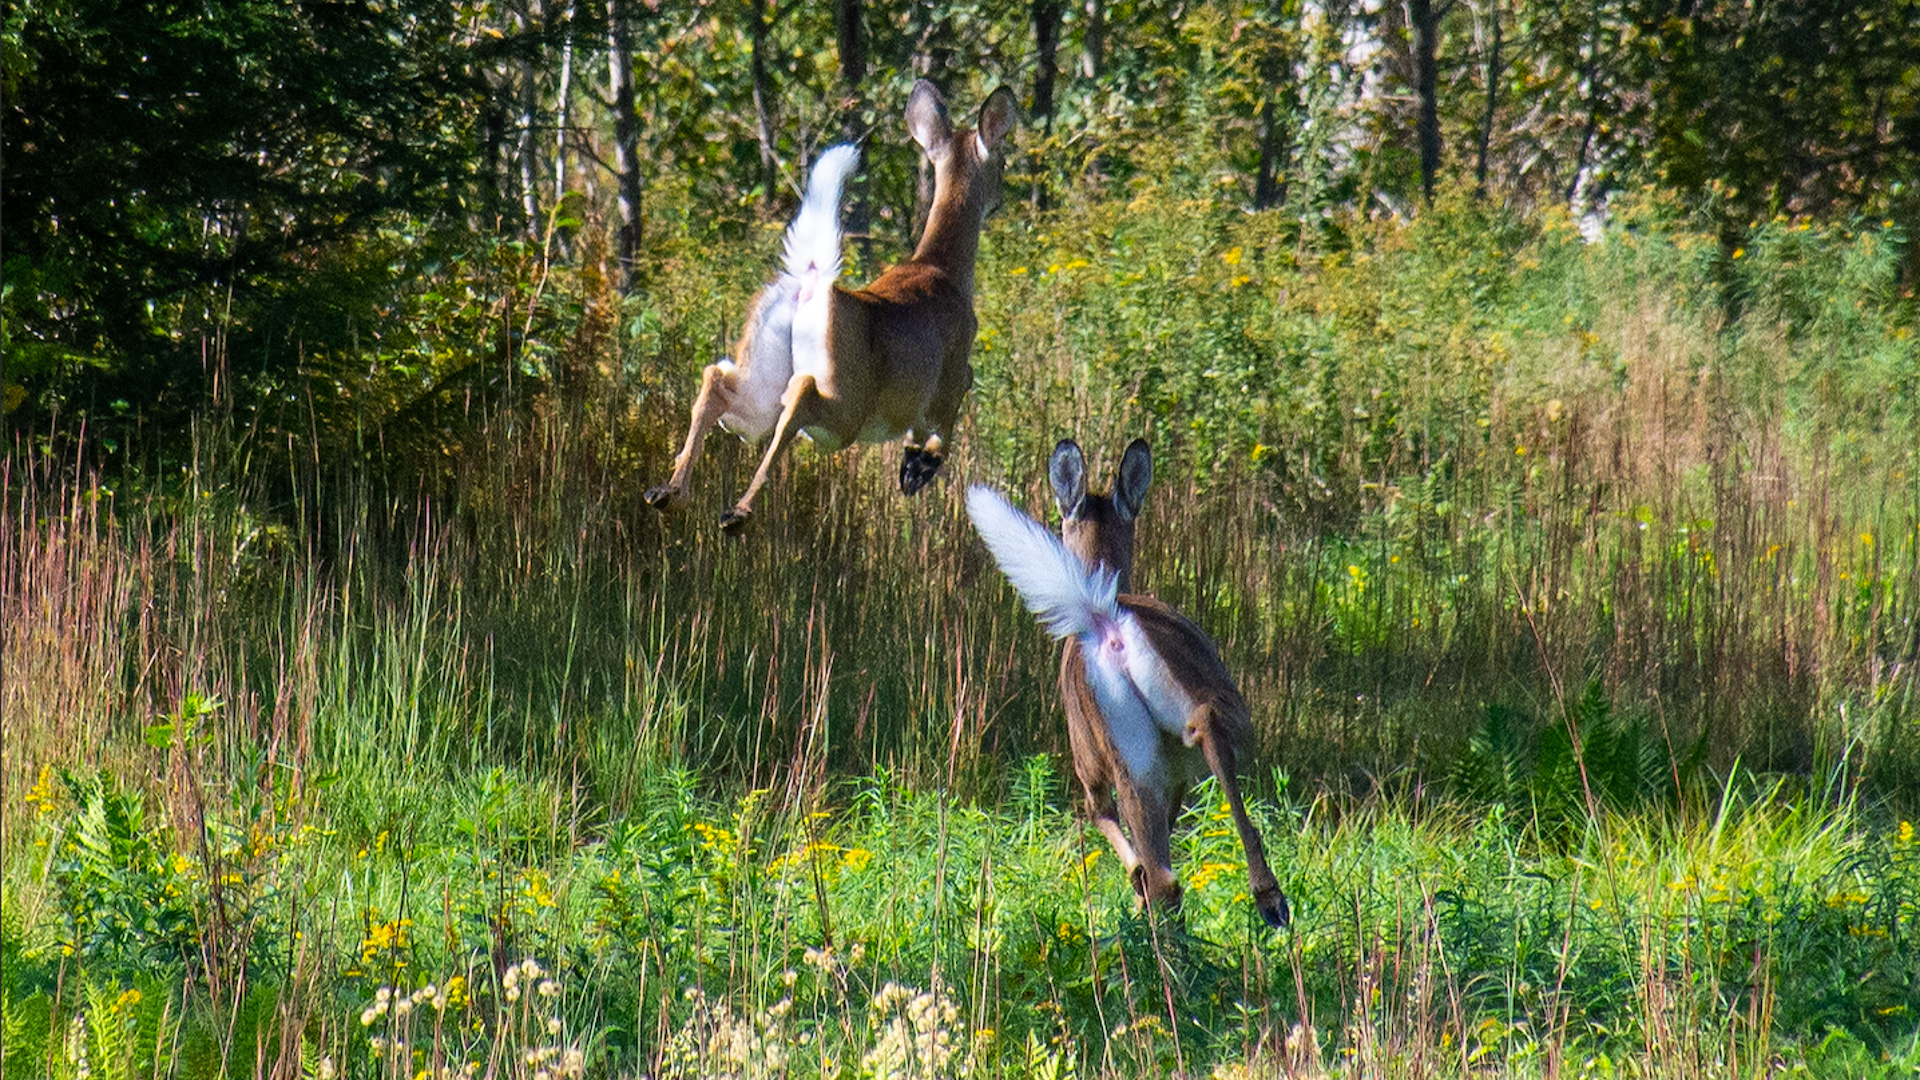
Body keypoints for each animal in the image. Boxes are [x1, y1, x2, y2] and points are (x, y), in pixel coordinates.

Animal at [645, 80, 1018, 533]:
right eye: (1003, 162)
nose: (1001, 198)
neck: (941, 268)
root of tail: (810, 283)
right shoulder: (950, 373)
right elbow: (957, 398)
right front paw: (917, 465)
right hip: (845, 408)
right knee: (801, 395)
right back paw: (737, 512)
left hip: (759, 388)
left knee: (717, 379)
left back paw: (668, 492)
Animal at [966, 439, 1290, 928]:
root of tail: (1106, 619)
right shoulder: (1166, 774)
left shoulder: (1093, 766)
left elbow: (1102, 819)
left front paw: (1133, 882)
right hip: (1179, 729)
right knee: (1201, 733)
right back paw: (1265, 899)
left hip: (1127, 752)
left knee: (1147, 856)